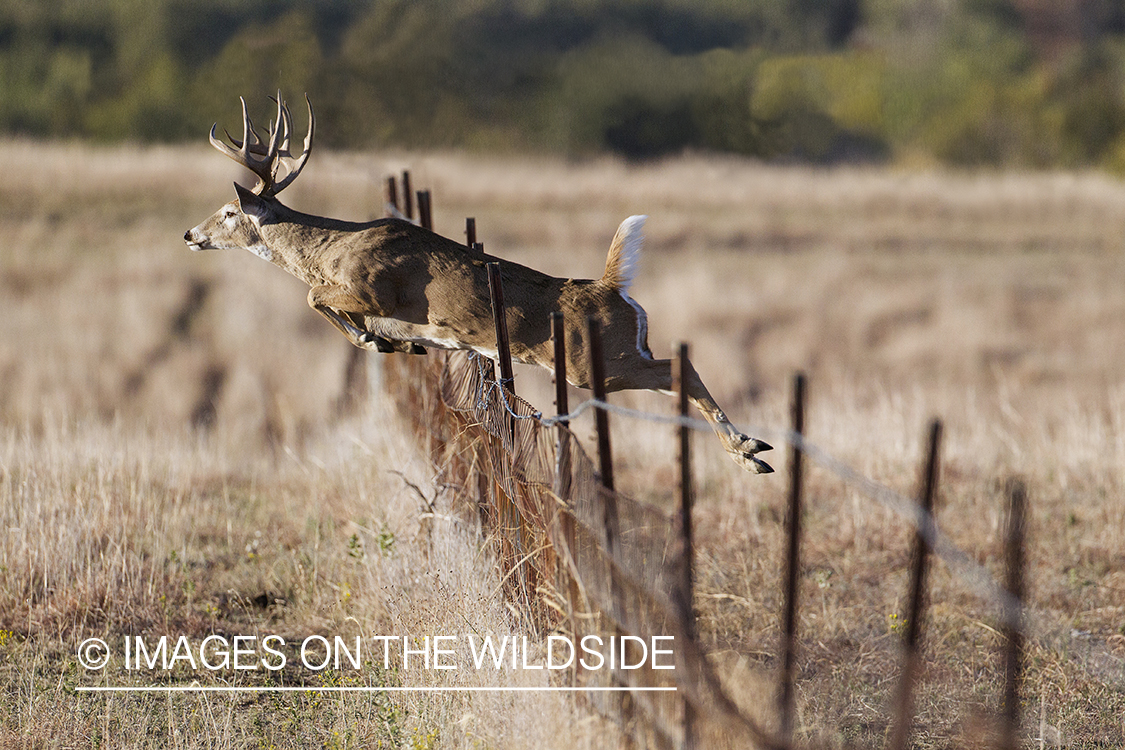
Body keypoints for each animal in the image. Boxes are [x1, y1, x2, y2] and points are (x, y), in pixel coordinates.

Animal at [186, 91, 774, 472]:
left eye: (228, 212)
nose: (191, 233)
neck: (333, 250)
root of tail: (612, 289)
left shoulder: (374, 285)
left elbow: (314, 297)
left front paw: (369, 338)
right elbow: (366, 325)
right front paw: (385, 342)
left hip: (595, 364)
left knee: (679, 365)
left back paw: (749, 449)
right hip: (616, 354)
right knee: (675, 369)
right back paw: (750, 451)